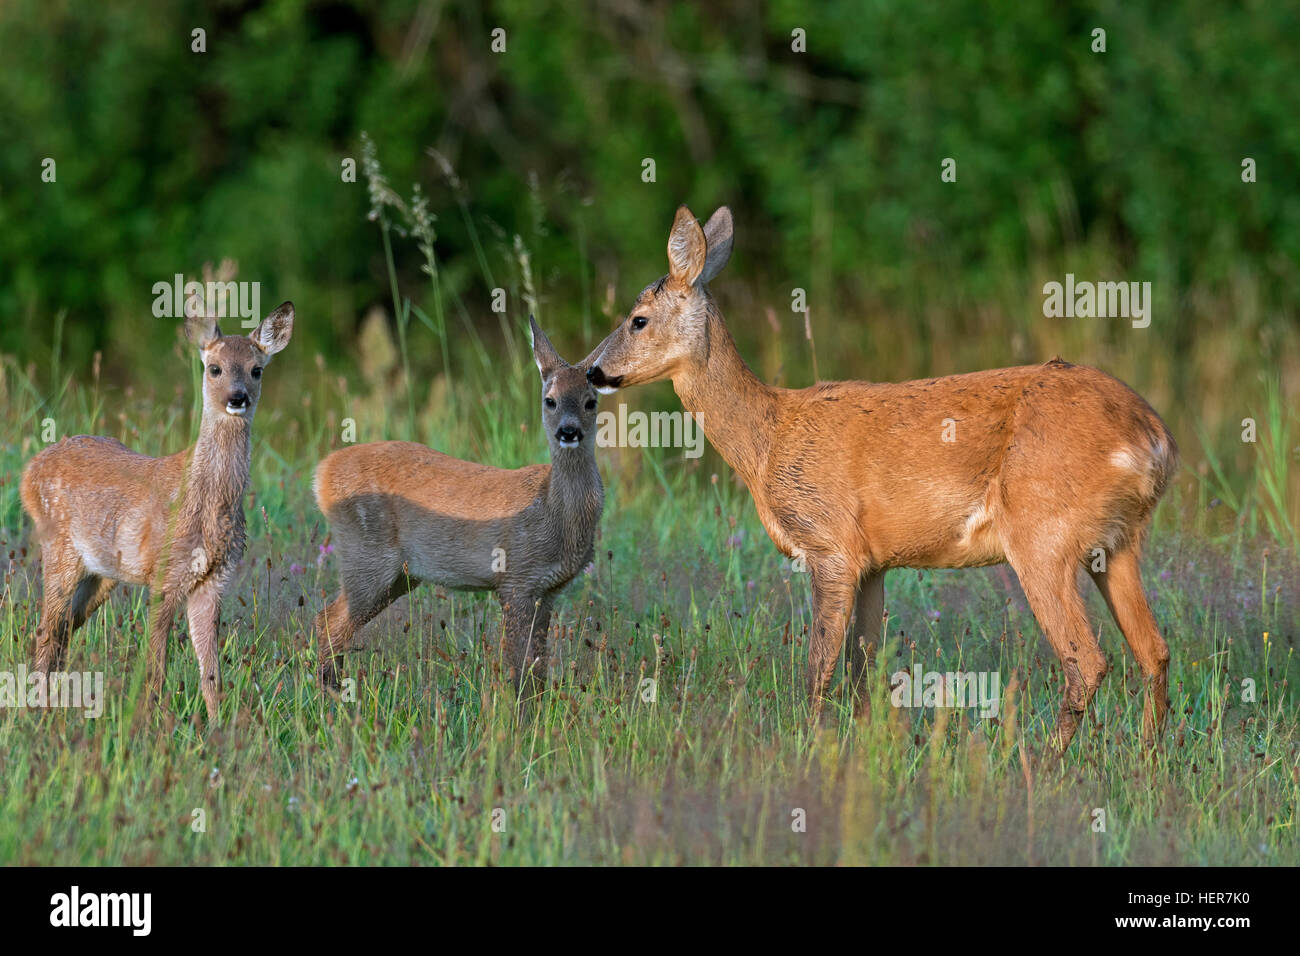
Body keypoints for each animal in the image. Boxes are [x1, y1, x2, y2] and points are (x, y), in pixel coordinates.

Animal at [23, 286, 292, 723]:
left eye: (257, 370)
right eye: (214, 368)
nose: (237, 399)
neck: (204, 500)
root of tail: (30, 470)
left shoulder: (213, 580)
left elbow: (212, 675)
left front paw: (219, 728)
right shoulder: (164, 575)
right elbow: (155, 669)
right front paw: (150, 726)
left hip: (102, 574)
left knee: (62, 630)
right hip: (59, 550)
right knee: (47, 630)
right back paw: (38, 714)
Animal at [312, 317, 600, 697]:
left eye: (590, 401)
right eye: (549, 400)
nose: (569, 431)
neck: (555, 514)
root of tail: (321, 473)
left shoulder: (547, 590)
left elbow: (536, 670)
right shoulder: (517, 578)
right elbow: (518, 669)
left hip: (401, 575)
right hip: (367, 556)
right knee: (328, 622)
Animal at [590, 205, 1180, 749]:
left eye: (638, 319)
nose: (593, 372)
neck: (768, 440)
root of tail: (1155, 439)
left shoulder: (829, 543)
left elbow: (818, 669)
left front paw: (810, 748)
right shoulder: (873, 562)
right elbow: (862, 668)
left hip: (1043, 534)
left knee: (1087, 660)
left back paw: (1041, 764)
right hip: (1116, 541)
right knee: (1154, 651)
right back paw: (1146, 759)